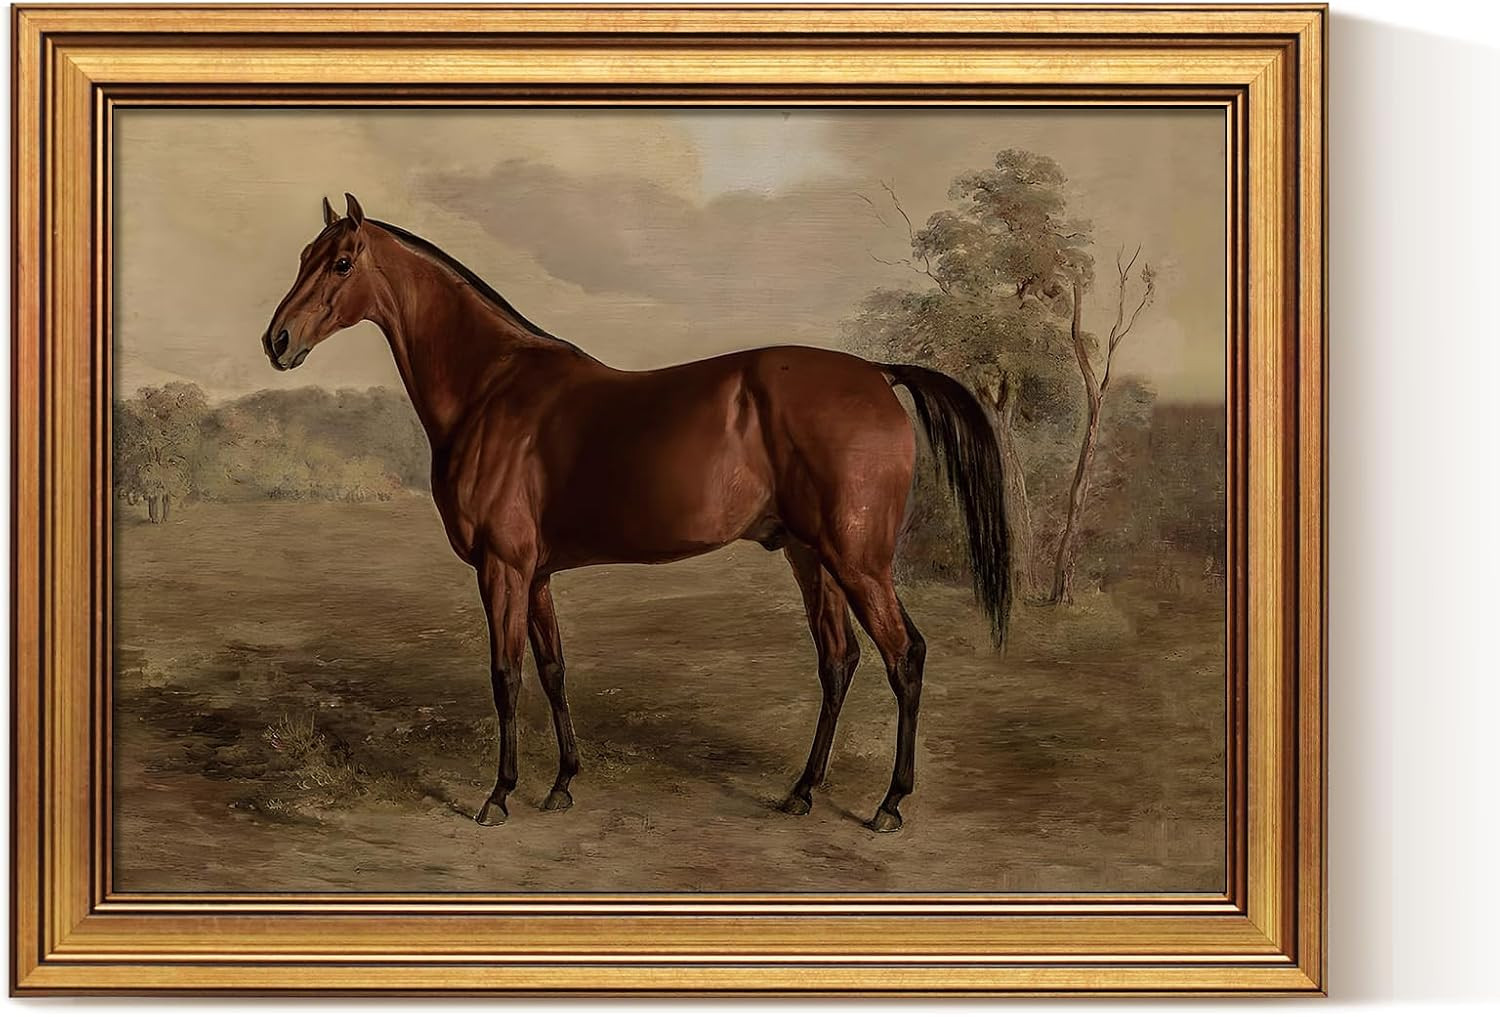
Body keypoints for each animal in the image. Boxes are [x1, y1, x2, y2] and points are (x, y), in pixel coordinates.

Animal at [261, 193, 1011, 833]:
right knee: (839, 659)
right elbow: (553, 669)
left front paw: (499, 795)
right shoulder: (536, 574)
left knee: (903, 655)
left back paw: (890, 803)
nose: (278, 340)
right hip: (812, 556)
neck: (491, 388)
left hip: (858, 560)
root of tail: (877, 374)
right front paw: (562, 784)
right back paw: (801, 791)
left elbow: (505, 675)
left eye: (341, 261)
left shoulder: (502, 568)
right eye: (302, 254)